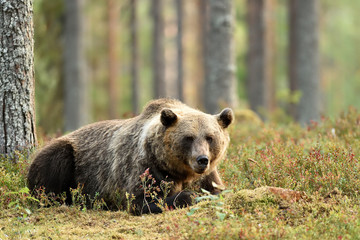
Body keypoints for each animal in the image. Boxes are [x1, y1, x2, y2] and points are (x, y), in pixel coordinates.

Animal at [27, 98, 233, 215]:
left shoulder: (207, 175)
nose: (202, 159)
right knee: (52, 170)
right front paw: (188, 196)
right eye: (188, 138)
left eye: (210, 137)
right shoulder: (145, 167)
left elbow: (218, 189)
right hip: (70, 157)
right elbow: (140, 201)